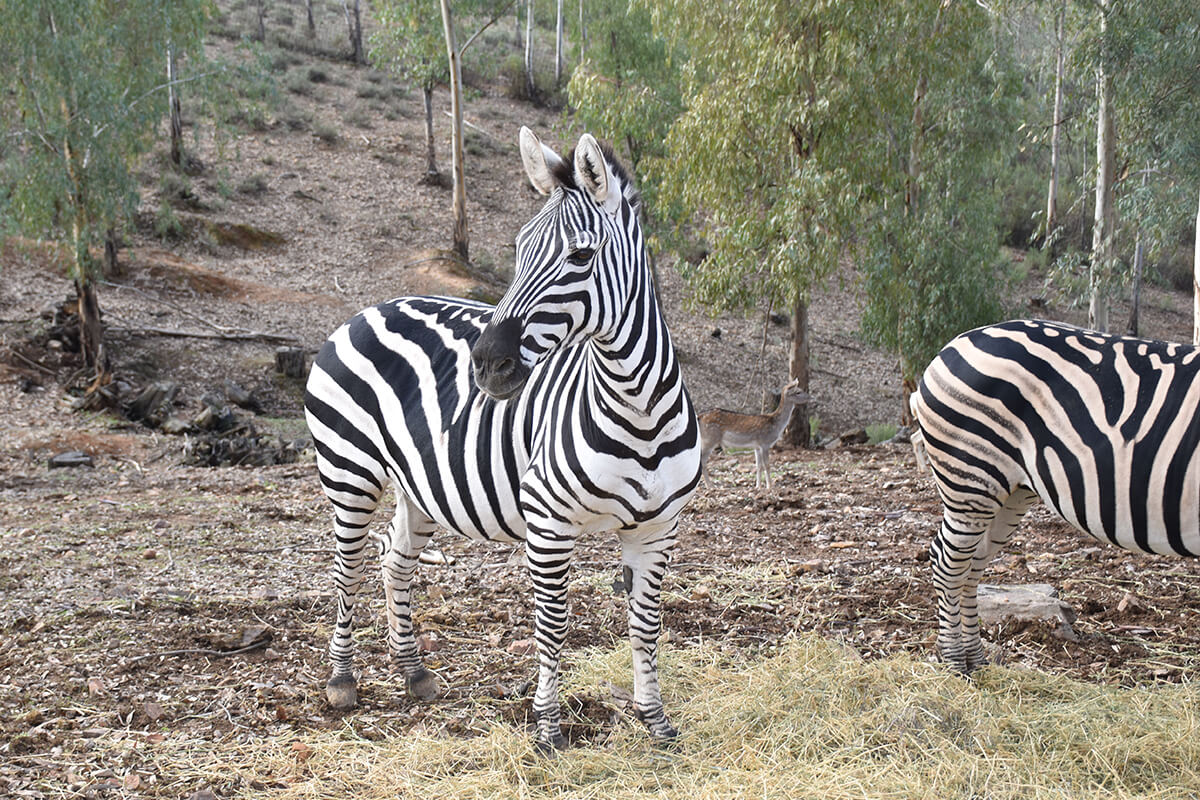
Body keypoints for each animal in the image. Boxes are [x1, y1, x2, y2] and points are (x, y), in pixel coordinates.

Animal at [302, 126, 700, 753]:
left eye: (580, 255)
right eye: (518, 249)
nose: (486, 365)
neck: (639, 409)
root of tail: (367, 309)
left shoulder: (659, 528)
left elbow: (646, 623)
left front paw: (654, 721)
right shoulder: (549, 522)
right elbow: (553, 624)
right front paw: (548, 729)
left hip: (418, 482)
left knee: (395, 559)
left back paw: (413, 672)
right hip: (348, 471)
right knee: (348, 567)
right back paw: (342, 681)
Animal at [907, 319, 1200, 676]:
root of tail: (956, 342)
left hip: (1009, 492)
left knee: (972, 566)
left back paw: (975, 658)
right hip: (971, 478)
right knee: (948, 563)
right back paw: (953, 662)